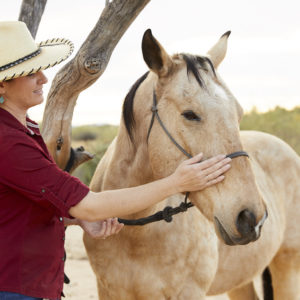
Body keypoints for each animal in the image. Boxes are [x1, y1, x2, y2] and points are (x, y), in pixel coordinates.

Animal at [83, 28, 300, 300]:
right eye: (190, 114)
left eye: (239, 113)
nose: (251, 217)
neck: (135, 230)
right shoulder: (108, 291)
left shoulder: (189, 291)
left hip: (287, 266)